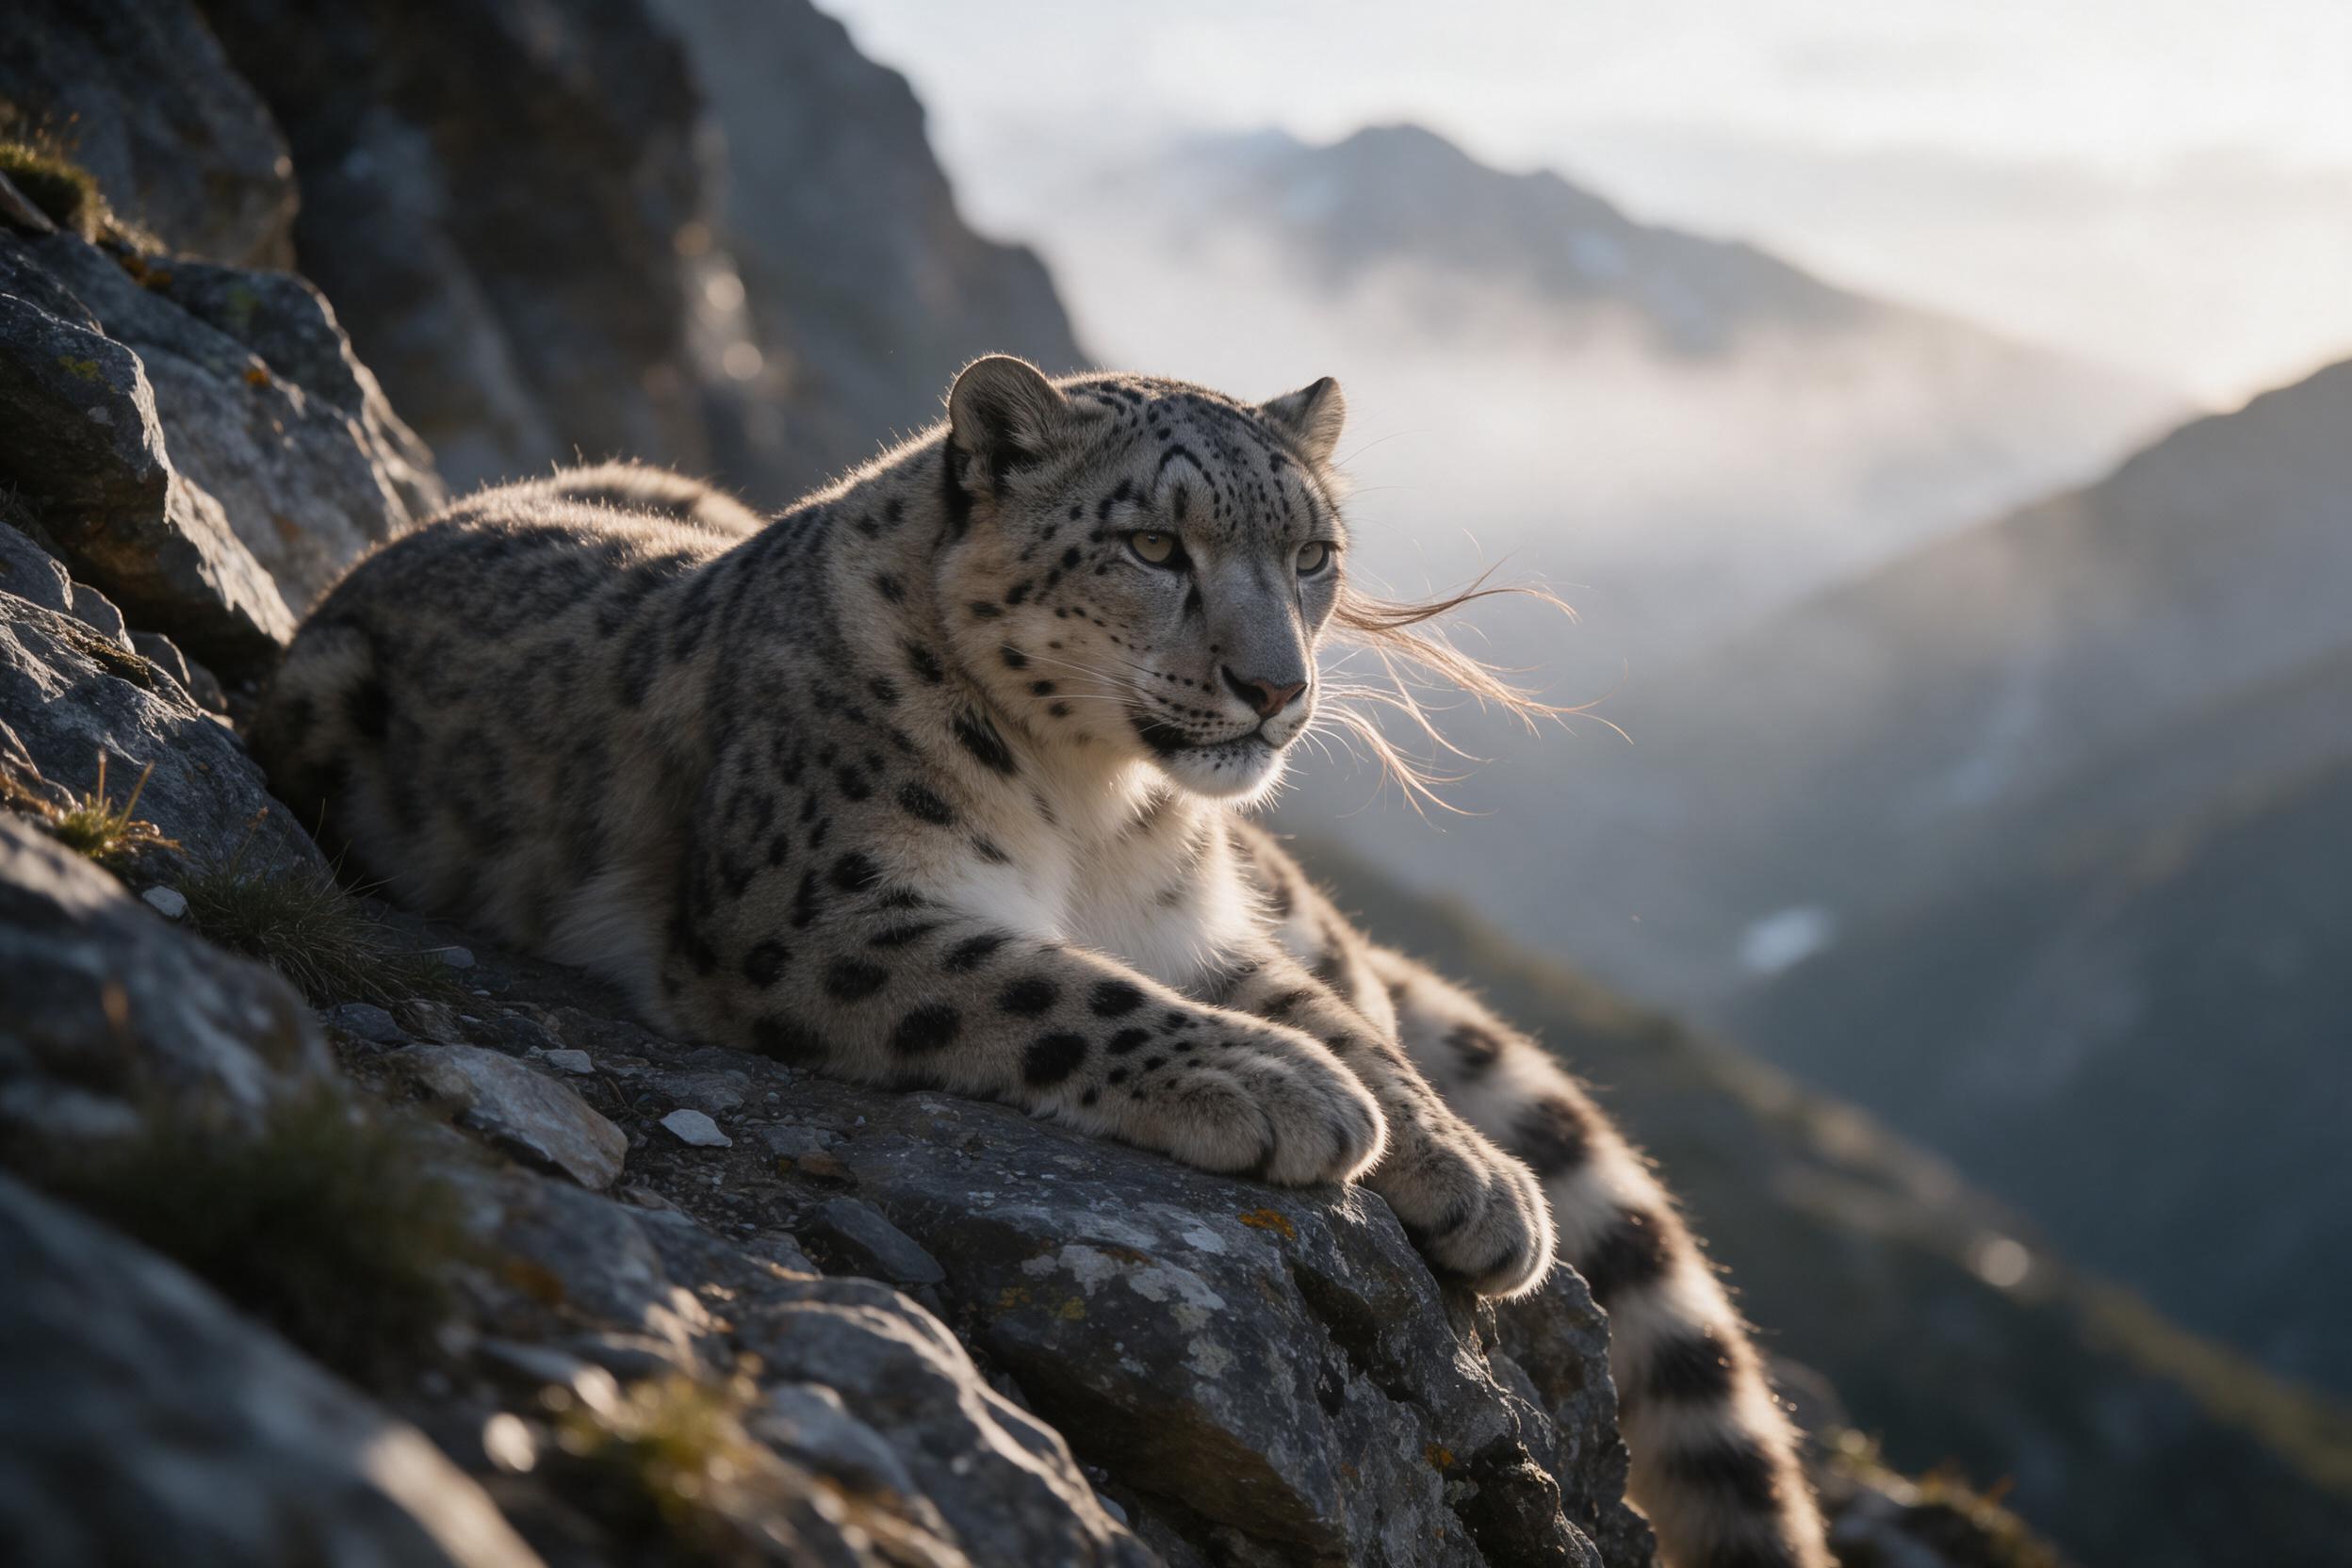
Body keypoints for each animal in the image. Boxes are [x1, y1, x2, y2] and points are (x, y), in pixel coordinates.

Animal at [254, 358, 1831, 1568]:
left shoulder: (1199, 929)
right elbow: (1057, 986)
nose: (1277, 688)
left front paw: (1470, 1173)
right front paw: (1282, 1095)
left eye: (1312, 556)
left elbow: (1342, 1020)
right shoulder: (819, 909)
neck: (1101, 812)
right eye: (1154, 548)